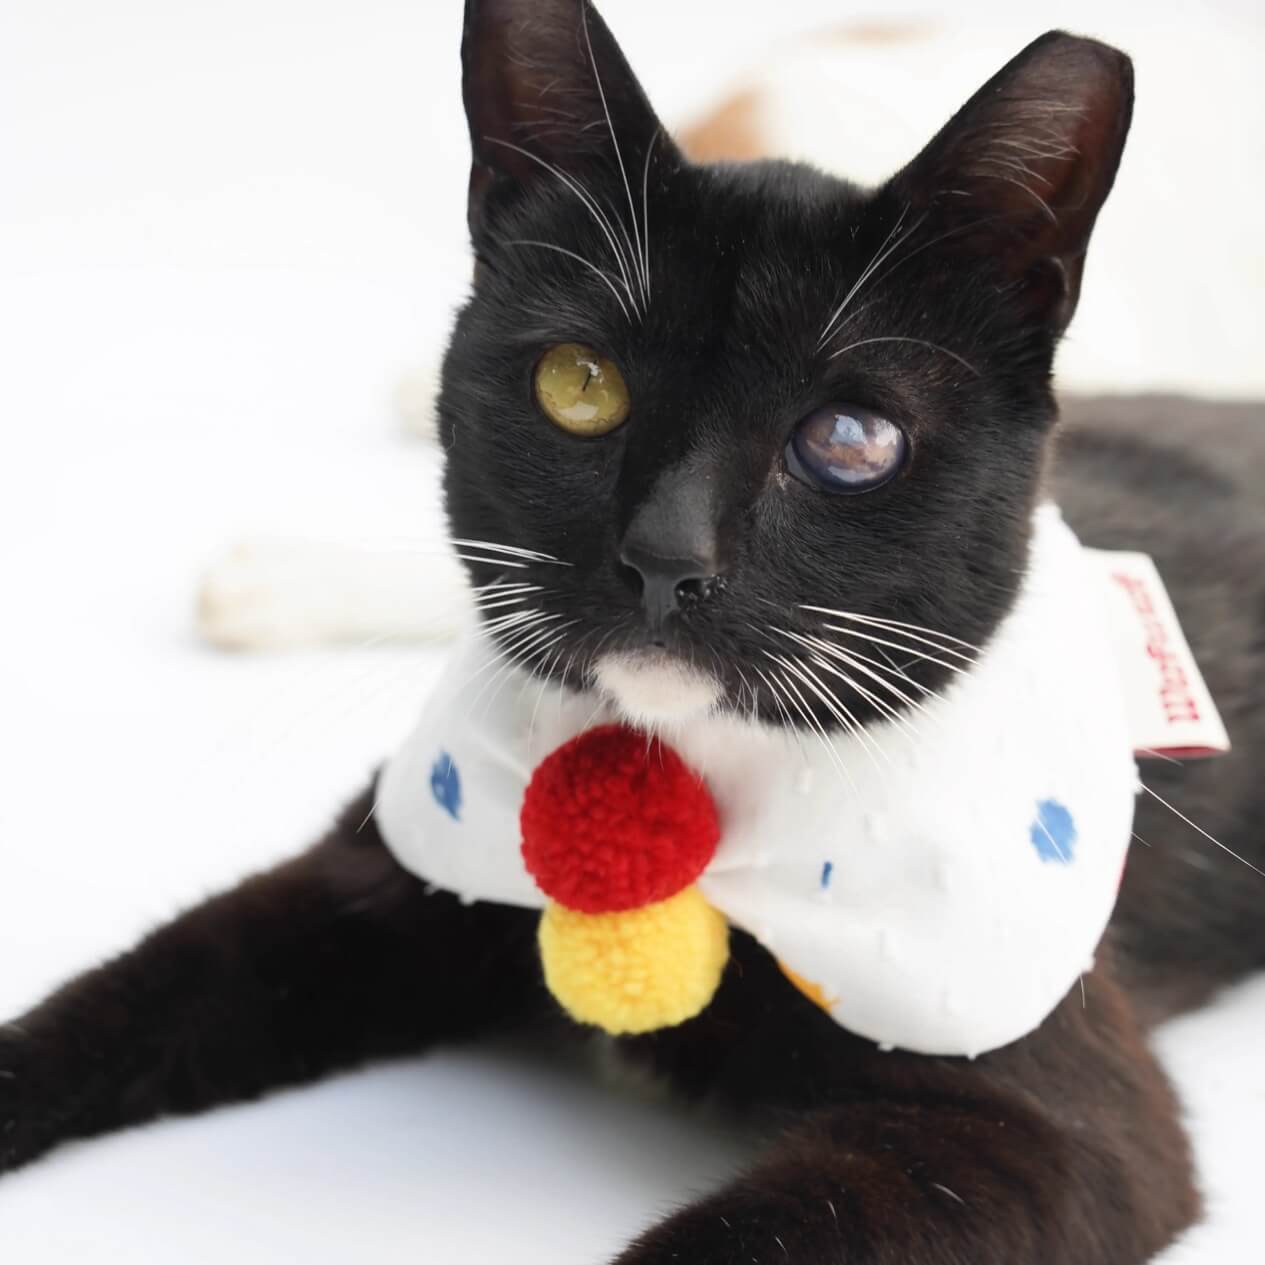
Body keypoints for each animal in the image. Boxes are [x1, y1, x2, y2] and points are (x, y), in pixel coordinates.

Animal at [2, 4, 1265, 1259]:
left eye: (851, 439)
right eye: (579, 383)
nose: (666, 558)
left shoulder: (1046, 1114)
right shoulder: (384, 876)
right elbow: (157, 981)